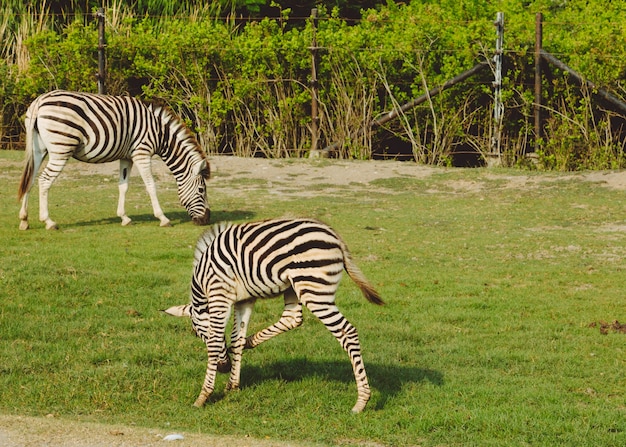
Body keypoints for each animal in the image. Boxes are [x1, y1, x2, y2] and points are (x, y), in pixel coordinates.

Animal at [17, 91, 211, 231]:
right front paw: (163, 218)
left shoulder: (126, 157)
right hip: (61, 148)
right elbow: (150, 185)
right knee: (44, 181)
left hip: (39, 149)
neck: (160, 134)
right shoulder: (142, 153)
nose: (206, 220)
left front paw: (124, 217)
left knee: (30, 180)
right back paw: (49, 221)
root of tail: (40, 101)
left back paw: (24, 220)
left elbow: (123, 186)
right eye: (201, 190)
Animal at [163, 219, 382, 414]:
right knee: (292, 317)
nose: (224, 367)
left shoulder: (219, 295)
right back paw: (250, 342)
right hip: (295, 285)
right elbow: (236, 337)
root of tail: (334, 236)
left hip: (314, 290)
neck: (203, 280)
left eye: (197, 333)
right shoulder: (245, 300)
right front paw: (232, 384)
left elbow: (216, 342)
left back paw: (362, 401)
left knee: (347, 331)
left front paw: (203, 396)